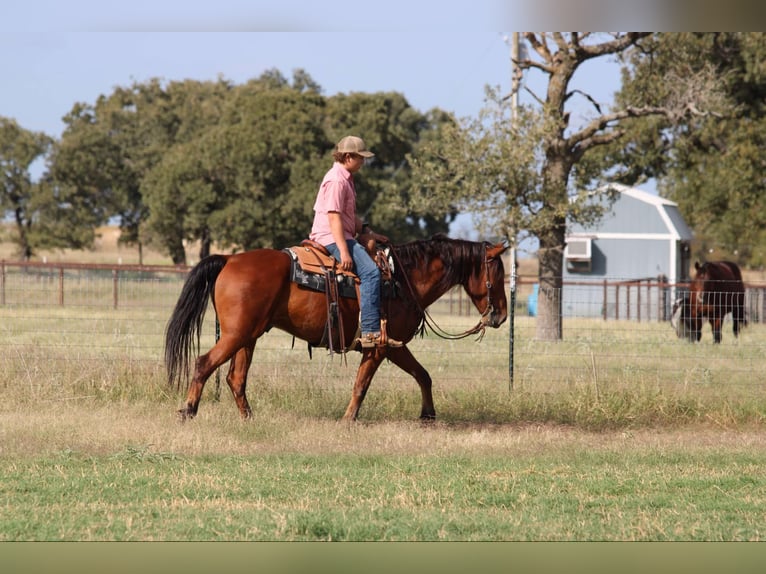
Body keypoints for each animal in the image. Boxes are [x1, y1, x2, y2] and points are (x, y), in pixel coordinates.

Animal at [165, 234, 510, 424]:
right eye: (498, 274)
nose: (502, 316)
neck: (403, 279)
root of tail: (229, 259)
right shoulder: (379, 347)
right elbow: (361, 384)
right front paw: (348, 419)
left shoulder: (394, 346)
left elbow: (423, 375)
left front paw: (428, 415)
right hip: (237, 335)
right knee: (204, 363)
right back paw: (188, 411)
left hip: (248, 337)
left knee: (236, 378)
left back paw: (249, 418)